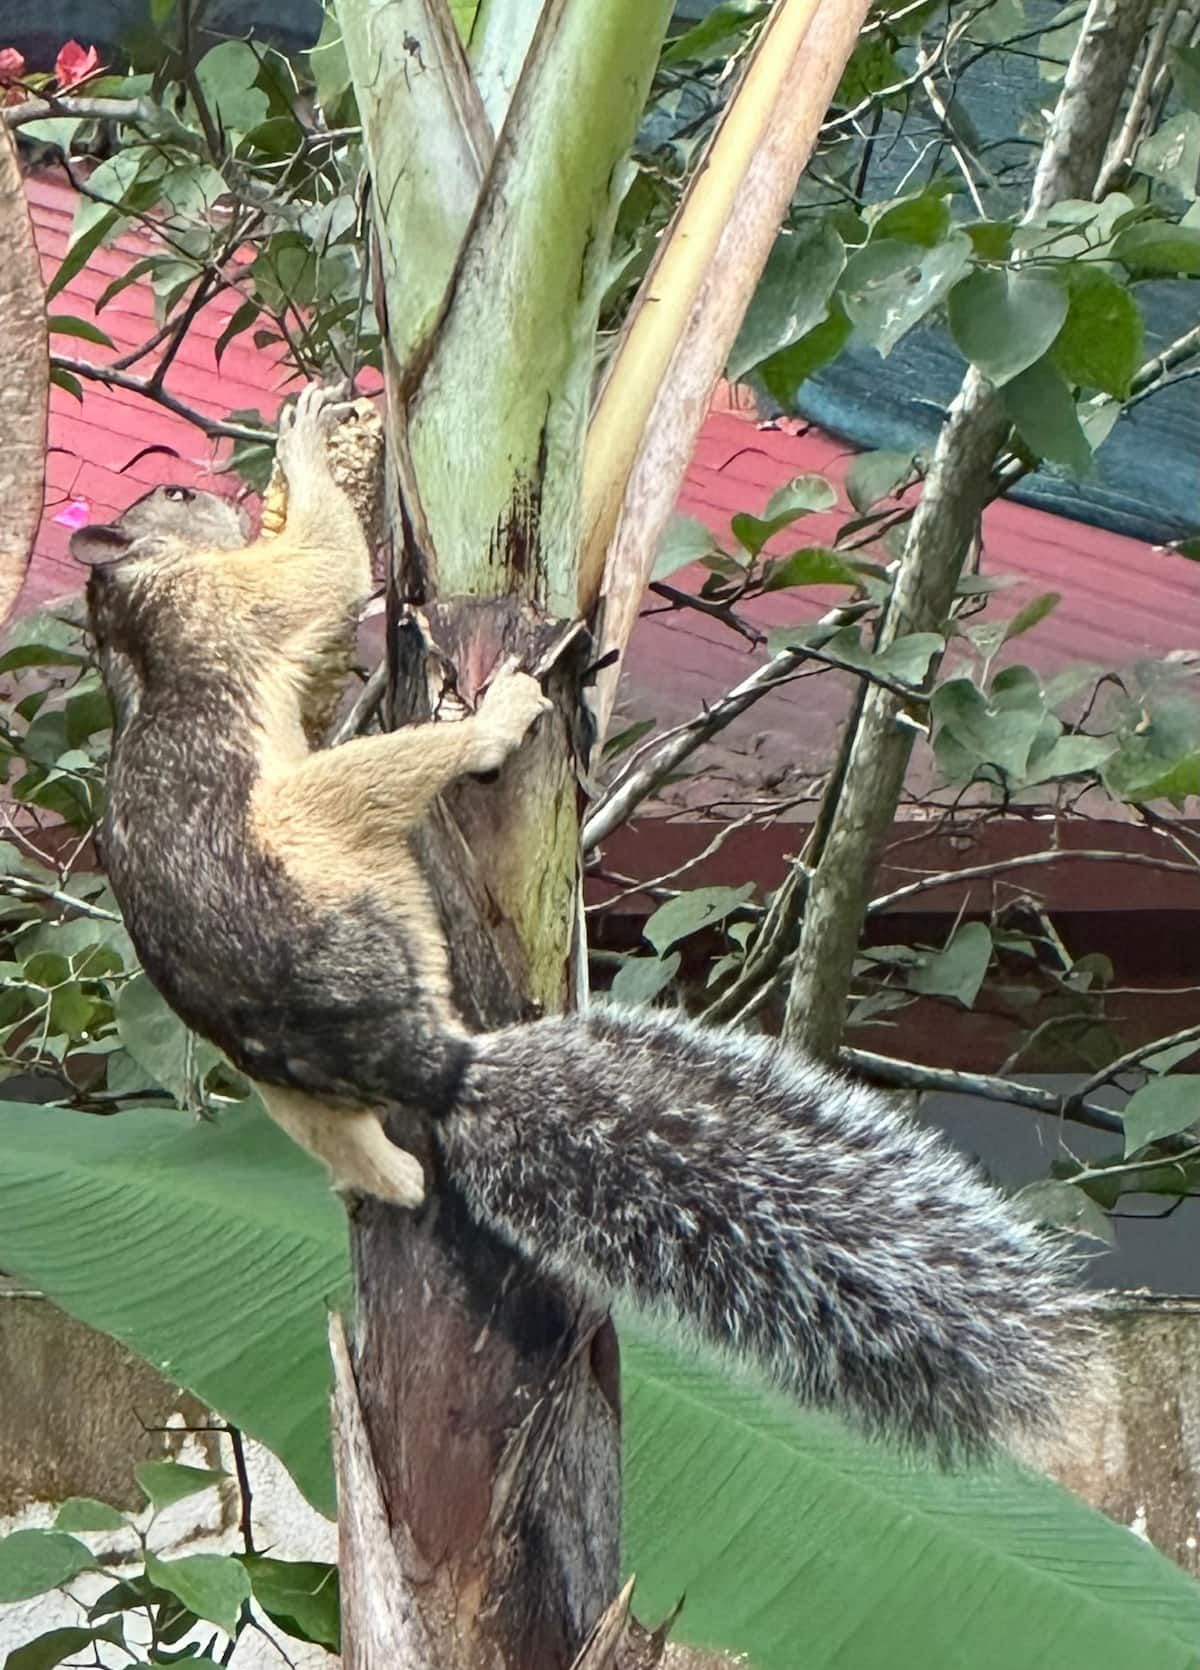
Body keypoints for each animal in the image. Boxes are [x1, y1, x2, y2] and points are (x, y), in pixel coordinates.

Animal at [76, 385, 1092, 1462]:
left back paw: (379, 1180)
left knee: (371, 1161)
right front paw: (308, 439)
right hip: (323, 827)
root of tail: (428, 1062)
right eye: (175, 496)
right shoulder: (229, 607)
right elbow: (322, 566)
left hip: (287, 1091)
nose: (216, 490)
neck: (129, 611)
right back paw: (493, 721)